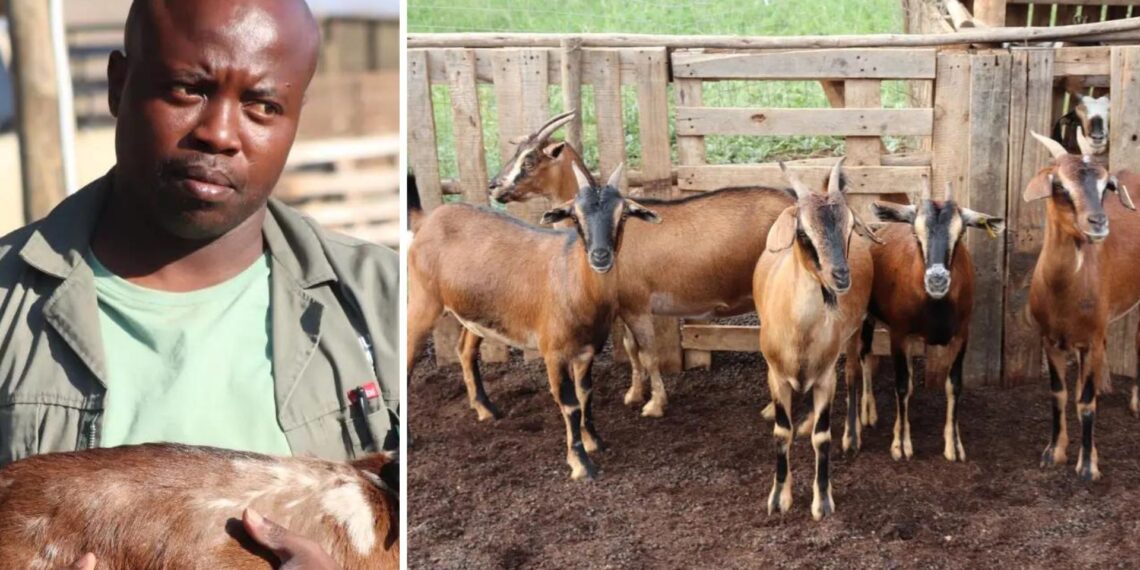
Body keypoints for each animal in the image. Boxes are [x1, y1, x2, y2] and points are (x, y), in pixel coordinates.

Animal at [407, 163, 661, 480]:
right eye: (575, 215)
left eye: (623, 213)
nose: (600, 256)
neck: (573, 281)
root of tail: (426, 221)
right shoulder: (554, 353)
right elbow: (570, 404)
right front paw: (581, 464)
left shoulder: (586, 351)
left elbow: (586, 394)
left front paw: (594, 441)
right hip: (423, 302)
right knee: (408, 356)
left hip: (475, 314)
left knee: (465, 350)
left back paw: (486, 410)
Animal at [488, 111, 793, 418]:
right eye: (517, 152)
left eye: (529, 160)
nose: (494, 187)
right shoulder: (623, 307)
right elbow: (631, 349)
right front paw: (634, 394)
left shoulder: (638, 305)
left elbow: (648, 353)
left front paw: (655, 404)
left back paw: (771, 409)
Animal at [753, 159, 879, 520]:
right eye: (802, 232)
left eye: (849, 229)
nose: (841, 277)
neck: (800, 333)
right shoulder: (776, 375)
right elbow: (782, 431)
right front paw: (779, 497)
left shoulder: (825, 376)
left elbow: (823, 437)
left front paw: (822, 500)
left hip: (854, 334)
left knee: (852, 375)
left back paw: (852, 435)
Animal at [859, 178, 1005, 462]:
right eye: (916, 234)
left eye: (960, 233)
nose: (937, 280)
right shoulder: (899, 334)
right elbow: (901, 386)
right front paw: (901, 445)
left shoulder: (961, 335)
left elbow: (953, 385)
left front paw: (954, 445)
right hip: (867, 317)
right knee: (865, 355)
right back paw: (867, 413)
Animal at [1025, 131, 1138, 481]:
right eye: (1060, 185)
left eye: (1105, 187)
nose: (1098, 223)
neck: (1063, 294)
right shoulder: (1050, 340)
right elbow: (1058, 394)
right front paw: (1054, 451)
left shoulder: (1089, 342)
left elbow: (1086, 404)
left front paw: (1088, 465)